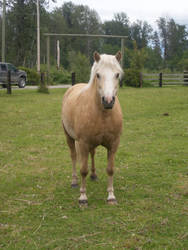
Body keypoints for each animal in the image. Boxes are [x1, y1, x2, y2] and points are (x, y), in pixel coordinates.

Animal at [61, 51, 123, 205]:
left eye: (117, 74)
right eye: (98, 75)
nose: (108, 101)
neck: (103, 114)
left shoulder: (114, 144)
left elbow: (110, 169)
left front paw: (111, 196)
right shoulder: (83, 143)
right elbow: (83, 170)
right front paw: (83, 197)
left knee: (92, 154)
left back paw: (94, 175)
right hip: (70, 138)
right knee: (73, 156)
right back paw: (74, 181)